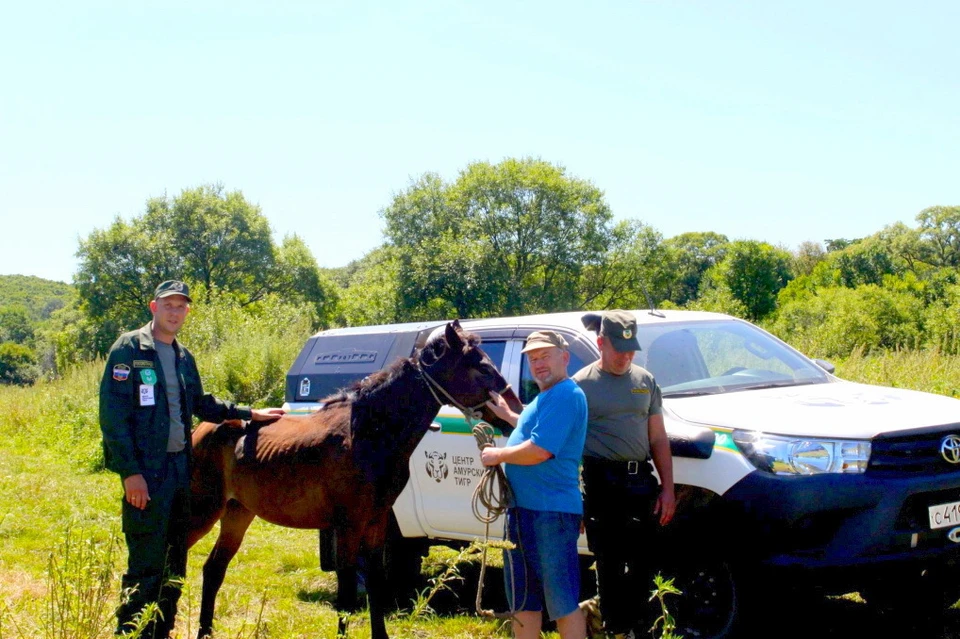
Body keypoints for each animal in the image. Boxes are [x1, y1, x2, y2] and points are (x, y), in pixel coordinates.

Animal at [184, 322, 520, 639]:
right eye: (482, 367)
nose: (514, 410)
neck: (368, 434)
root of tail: (200, 431)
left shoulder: (376, 522)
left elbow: (375, 584)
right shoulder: (348, 526)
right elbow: (346, 596)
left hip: (238, 512)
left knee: (213, 569)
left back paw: (205, 631)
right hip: (202, 512)